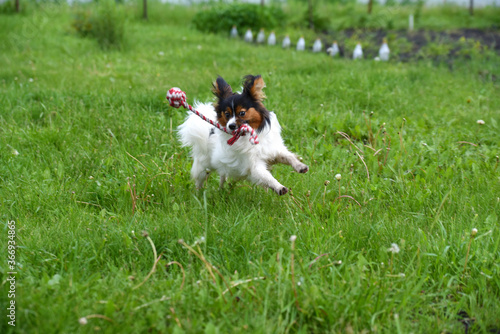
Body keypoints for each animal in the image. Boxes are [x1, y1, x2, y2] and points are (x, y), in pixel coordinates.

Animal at [176, 75, 308, 196]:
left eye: (242, 113)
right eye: (227, 114)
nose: (231, 126)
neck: (249, 136)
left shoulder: (273, 150)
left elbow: (289, 157)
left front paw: (300, 166)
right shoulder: (253, 165)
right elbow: (266, 177)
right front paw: (279, 187)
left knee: (222, 176)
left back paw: (221, 191)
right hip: (203, 166)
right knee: (199, 180)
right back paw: (198, 195)